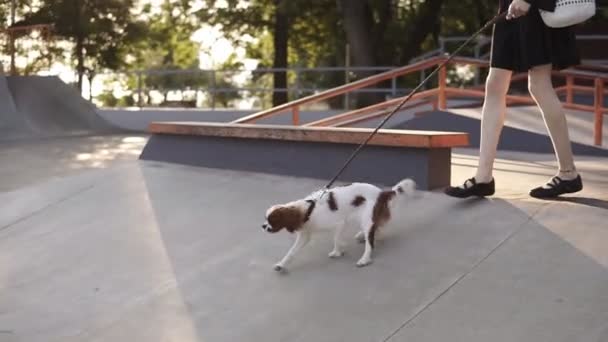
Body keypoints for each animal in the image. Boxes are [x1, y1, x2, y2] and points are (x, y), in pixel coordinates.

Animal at [258, 179, 416, 272]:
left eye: (272, 221)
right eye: (266, 219)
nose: (263, 226)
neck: (309, 210)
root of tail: (381, 192)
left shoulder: (338, 223)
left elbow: (336, 239)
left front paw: (337, 251)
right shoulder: (305, 235)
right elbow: (291, 252)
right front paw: (281, 264)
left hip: (366, 217)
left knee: (370, 242)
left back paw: (364, 258)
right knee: (375, 227)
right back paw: (364, 235)